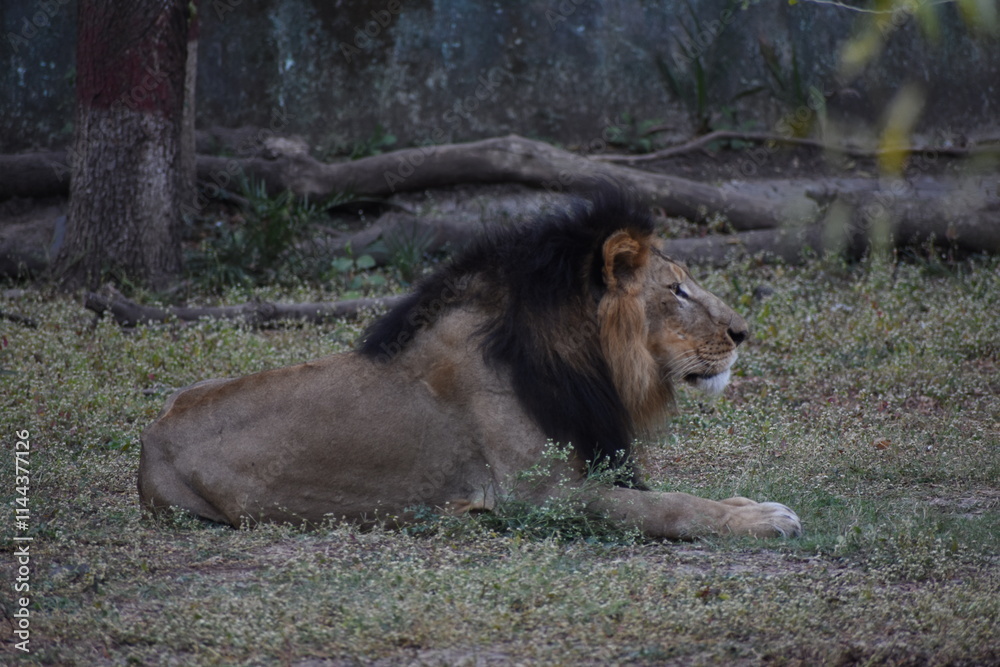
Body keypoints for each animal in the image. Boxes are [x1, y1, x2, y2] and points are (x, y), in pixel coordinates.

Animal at [138, 188, 801, 539]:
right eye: (678, 290)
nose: (742, 332)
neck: (586, 361)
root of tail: (153, 433)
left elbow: (674, 493)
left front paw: (745, 506)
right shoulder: (536, 497)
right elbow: (665, 504)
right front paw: (765, 519)